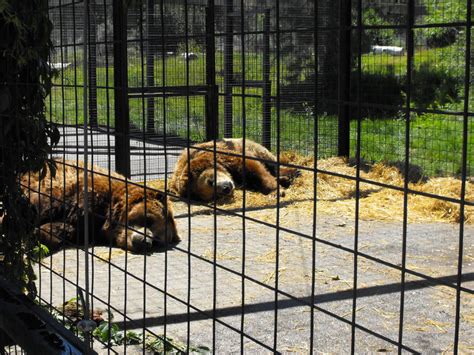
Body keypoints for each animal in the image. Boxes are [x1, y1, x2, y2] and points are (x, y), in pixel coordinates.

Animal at [20, 161, 181, 253]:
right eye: (149, 220)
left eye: (157, 241)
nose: (145, 242)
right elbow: (41, 208)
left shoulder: (87, 225)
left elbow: (64, 228)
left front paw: (39, 236)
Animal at [168, 138, 298, 202]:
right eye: (214, 195)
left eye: (210, 181)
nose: (226, 188)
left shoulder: (225, 156)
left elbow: (254, 169)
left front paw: (275, 191)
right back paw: (285, 179)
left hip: (250, 147)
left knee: (271, 163)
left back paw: (292, 173)